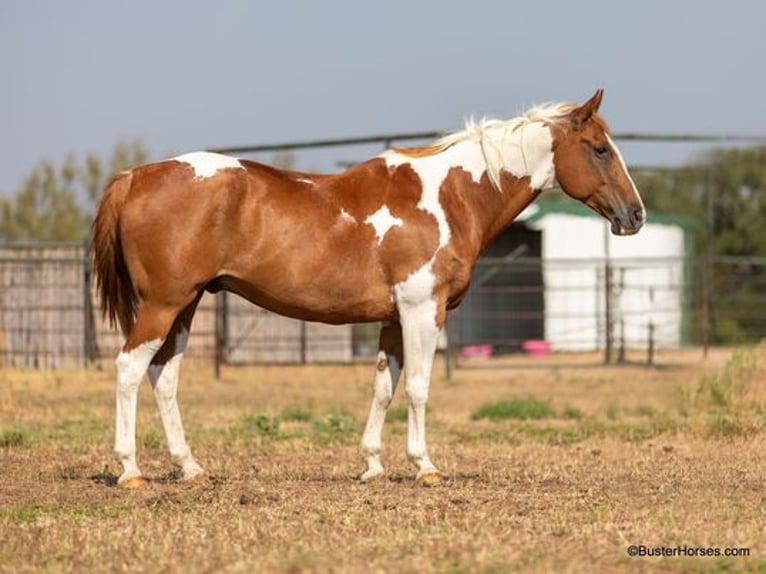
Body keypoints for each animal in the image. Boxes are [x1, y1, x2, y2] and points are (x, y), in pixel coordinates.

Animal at [91, 90, 648, 490]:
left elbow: (384, 386)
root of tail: (136, 175)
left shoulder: (392, 319)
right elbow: (419, 387)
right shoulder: (423, 311)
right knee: (129, 368)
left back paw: (190, 468)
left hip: (185, 307)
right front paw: (424, 466)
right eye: (601, 149)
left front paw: (372, 465)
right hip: (163, 305)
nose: (636, 215)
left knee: (163, 377)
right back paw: (130, 470)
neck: (448, 198)